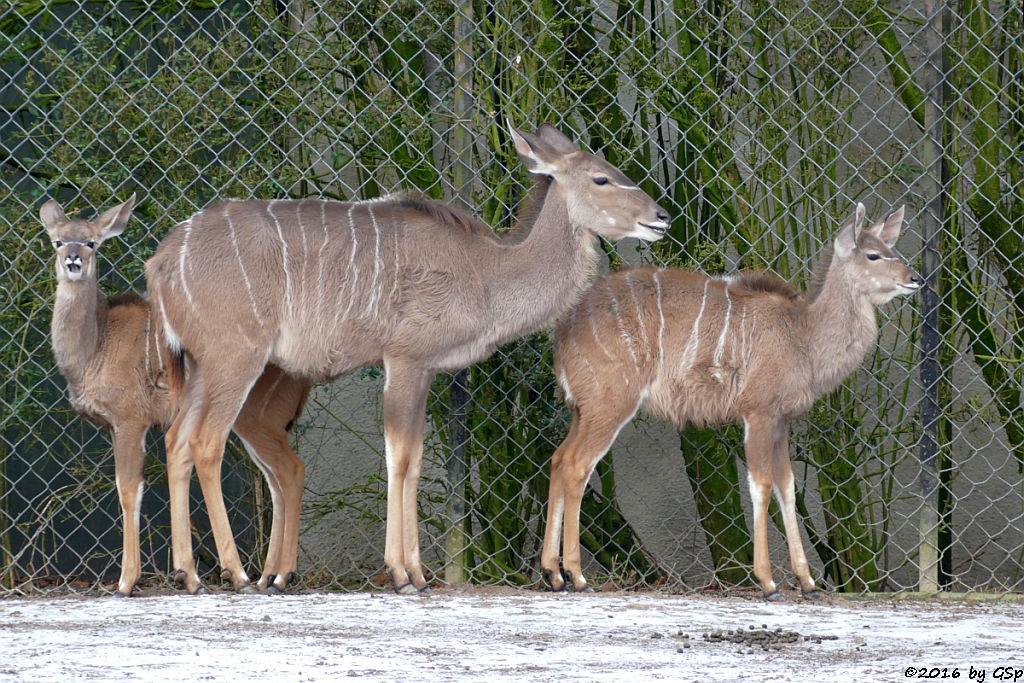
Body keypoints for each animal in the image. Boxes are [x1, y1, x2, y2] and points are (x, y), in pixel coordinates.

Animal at [39, 194, 309, 593]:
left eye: (91, 242)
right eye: (58, 241)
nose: (73, 261)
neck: (96, 345)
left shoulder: (130, 420)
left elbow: (128, 488)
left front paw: (126, 583)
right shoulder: (120, 425)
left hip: (253, 418)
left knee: (290, 470)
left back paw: (274, 576)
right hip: (255, 425)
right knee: (275, 481)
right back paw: (267, 577)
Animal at [146, 125, 671, 593]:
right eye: (601, 178)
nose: (661, 216)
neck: (485, 273)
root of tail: (163, 259)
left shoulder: (426, 371)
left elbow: (415, 460)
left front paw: (418, 573)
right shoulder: (405, 360)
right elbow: (398, 457)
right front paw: (401, 575)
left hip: (201, 367)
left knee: (176, 441)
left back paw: (189, 575)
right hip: (235, 360)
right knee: (206, 442)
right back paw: (237, 574)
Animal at [544, 201, 921, 598]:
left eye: (892, 248)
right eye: (873, 254)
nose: (915, 279)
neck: (802, 335)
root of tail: (564, 330)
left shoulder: (781, 421)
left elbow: (787, 487)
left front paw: (808, 583)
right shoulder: (757, 412)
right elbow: (761, 485)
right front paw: (768, 582)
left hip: (583, 410)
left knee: (558, 459)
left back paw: (553, 573)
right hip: (611, 405)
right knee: (577, 466)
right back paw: (577, 576)